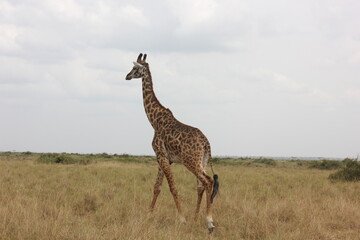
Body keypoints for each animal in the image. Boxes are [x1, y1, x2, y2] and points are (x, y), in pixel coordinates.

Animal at [125, 52, 218, 232]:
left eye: (134, 68)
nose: (126, 76)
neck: (154, 120)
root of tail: (206, 143)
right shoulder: (165, 158)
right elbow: (157, 187)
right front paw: (149, 214)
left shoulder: (161, 155)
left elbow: (172, 187)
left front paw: (182, 219)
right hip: (202, 160)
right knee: (201, 185)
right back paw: (197, 218)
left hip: (191, 161)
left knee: (208, 181)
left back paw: (209, 222)